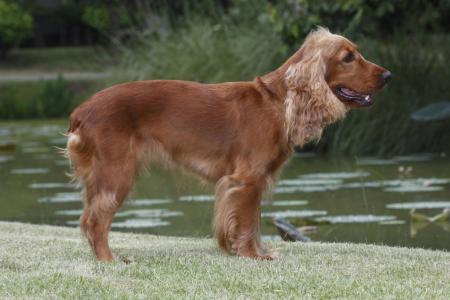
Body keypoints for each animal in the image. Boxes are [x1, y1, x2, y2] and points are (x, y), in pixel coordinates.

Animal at [66, 27, 390, 260]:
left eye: (357, 54)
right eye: (348, 57)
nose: (388, 75)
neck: (277, 101)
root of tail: (81, 110)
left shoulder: (253, 182)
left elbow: (254, 221)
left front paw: (255, 252)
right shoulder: (246, 180)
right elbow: (246, 222)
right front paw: (253, 256)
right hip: (116, 173)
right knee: (95, 221)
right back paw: (109, 259)